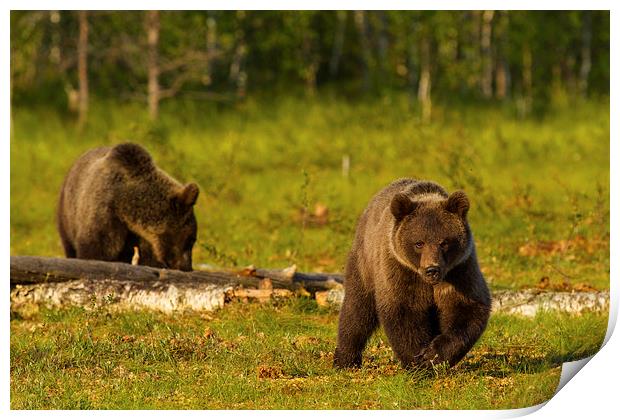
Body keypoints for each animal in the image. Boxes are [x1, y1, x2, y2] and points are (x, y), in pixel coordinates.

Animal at [57, 143, 200, 270]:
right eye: (191, 239)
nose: (187, 267)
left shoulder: (144, 237)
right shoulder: (104, 213)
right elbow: (95, 249)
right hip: (67, 215)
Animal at [334, 179, 490, 370]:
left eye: (444, 242)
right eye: (419, 243)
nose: (432, 269)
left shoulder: (460, 270)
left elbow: (467, 309)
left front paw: (433, 355)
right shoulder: (400, 270)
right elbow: (404, 311)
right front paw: (417, 361)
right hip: (365, 262)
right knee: (357, 309)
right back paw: (345, 360)